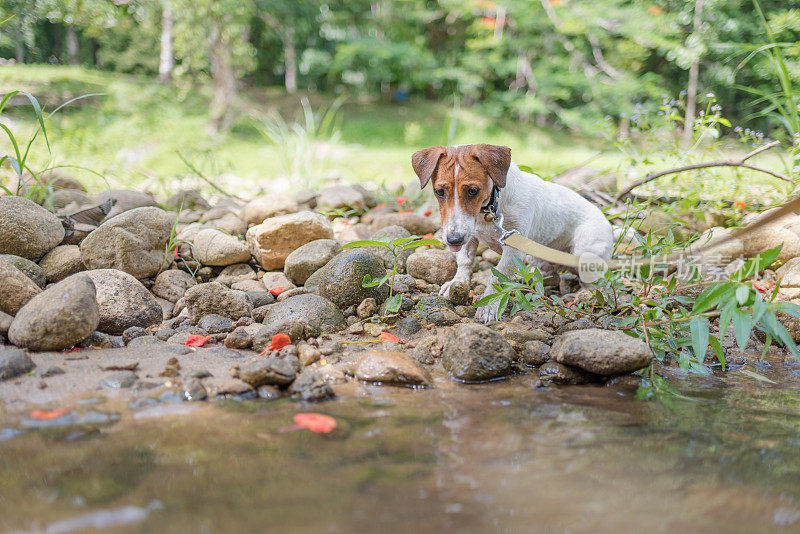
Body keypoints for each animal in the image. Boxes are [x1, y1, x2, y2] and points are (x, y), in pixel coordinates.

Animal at [412, 142, 612, 324]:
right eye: (439, 191)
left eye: (473, 190)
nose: (453, 240)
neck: (490, 208)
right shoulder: (469, 236)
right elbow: (465, 261)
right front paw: (457, 283)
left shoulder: (513, 248)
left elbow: (497, 276)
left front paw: (489, 305)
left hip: (585, 253)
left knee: (593, 285)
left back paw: (580, 295)